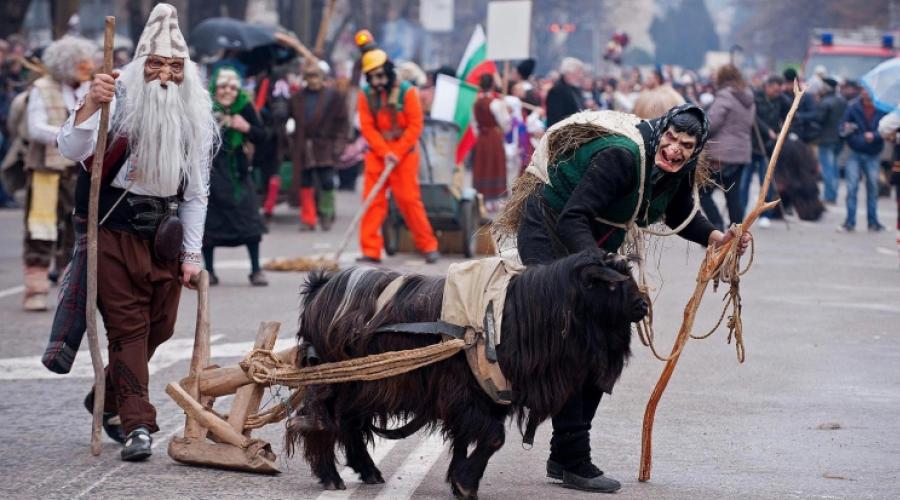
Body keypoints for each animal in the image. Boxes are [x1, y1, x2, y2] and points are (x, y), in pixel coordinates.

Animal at [288, 248, 648, 498]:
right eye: (612, 286)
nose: (643, 305)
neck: (515, 314)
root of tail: (320, 286)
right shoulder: (464, 393)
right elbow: (493, 437)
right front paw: (466, 483)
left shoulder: (484, 395)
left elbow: (472, 438)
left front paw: (460, 480)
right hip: (334, 381)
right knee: (319, 422)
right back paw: (331, 477)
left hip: (362, 387)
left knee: (348, 424)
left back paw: (368, 471)